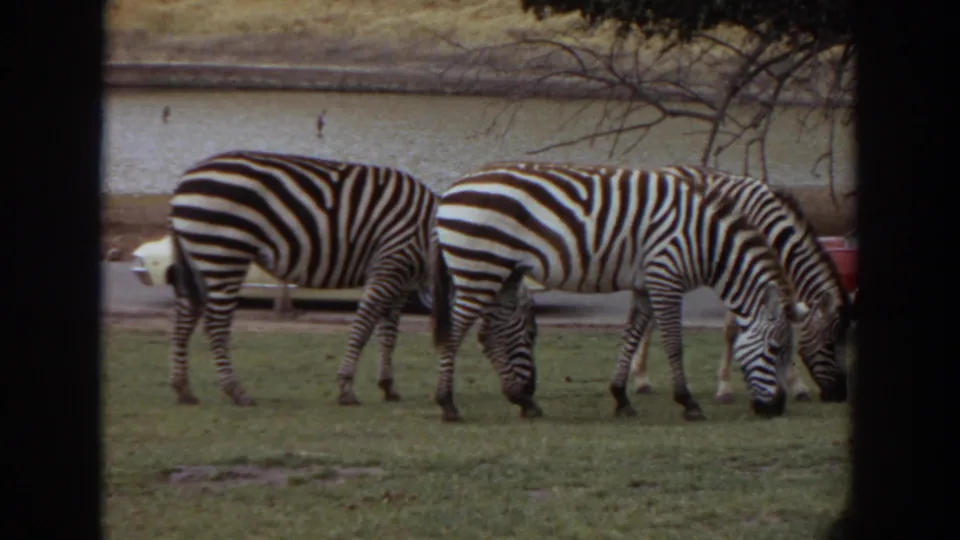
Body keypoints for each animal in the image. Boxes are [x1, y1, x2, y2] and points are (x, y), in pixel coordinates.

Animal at [167, 149, 437, 406]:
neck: (428, 231)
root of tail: (183, 180)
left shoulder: (402, 281)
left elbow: (389, 333)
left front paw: (388, 386)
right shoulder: (389, 265)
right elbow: (364, 327)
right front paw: (346, 387)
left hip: (200, 257)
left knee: (185, 316)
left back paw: (183, 389)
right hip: (223, 252)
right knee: (216, 323)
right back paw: (236, 391)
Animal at [431, 160, 811, 423]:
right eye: (775, 349)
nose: (777, 409)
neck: (706, 242)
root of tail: (451, 188)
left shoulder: (647, 284)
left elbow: (631, 335)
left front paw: (621, 397)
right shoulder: (666, 277)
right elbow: (673, 342)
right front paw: (688, 402)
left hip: (503, 272)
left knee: (493, 331)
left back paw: (523, 401)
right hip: (479, 268)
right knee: (457, 331)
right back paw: (448, 404)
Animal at [630, 166, 853, 404]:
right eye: (830, 344)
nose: (840, 395)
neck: (771, 230)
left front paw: (793, 385)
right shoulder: (742, 274)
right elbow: (732, 330)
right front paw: (724, 387)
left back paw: (641, 376)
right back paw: (641, 378)